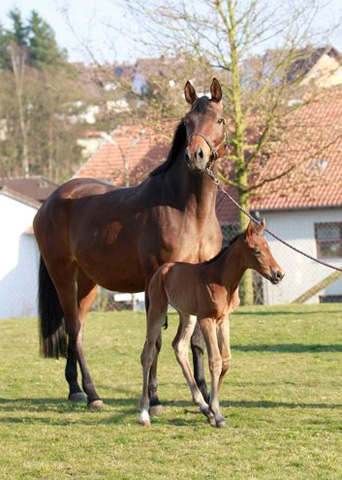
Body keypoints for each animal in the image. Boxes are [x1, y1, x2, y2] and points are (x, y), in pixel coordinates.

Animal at [140, 219, 284, 426]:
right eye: (256, 250)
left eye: (269, 247)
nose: (279, 274)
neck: (222, 280)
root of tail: (160, 271)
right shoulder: (207, 320)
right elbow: (215, 361)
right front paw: (217, 413)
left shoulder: (223, 320)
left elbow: (226, 360)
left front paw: (212, 410)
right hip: (157, 311)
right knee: (148, 353)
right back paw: (144, 412)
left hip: (188, 316)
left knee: (179, 346)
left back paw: (202, 406)